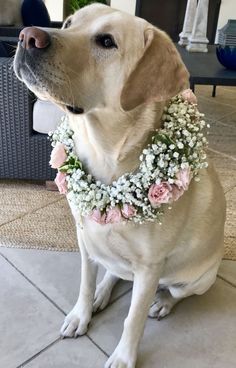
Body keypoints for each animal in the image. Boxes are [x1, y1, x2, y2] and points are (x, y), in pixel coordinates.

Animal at [13, 3, 226, 368]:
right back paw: (103, 293)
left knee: (173, 292)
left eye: (106, 41)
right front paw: (81, 314)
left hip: (199, 279)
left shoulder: (150, 268)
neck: (105, 158)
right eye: (68, 23)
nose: (28, 36)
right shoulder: (84, 238)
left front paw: (124, 357)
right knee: (112, 272)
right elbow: (85, 285)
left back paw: (163, 303)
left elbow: (133, 318)